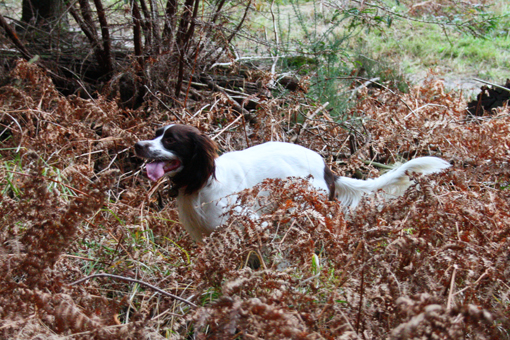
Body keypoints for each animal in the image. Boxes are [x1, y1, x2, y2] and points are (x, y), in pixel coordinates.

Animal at [135, 125, 450, 242]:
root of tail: (327, 169)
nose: (138, 145)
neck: (200, 184)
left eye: (170, 139)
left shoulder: (252, 223)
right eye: (156, 133)